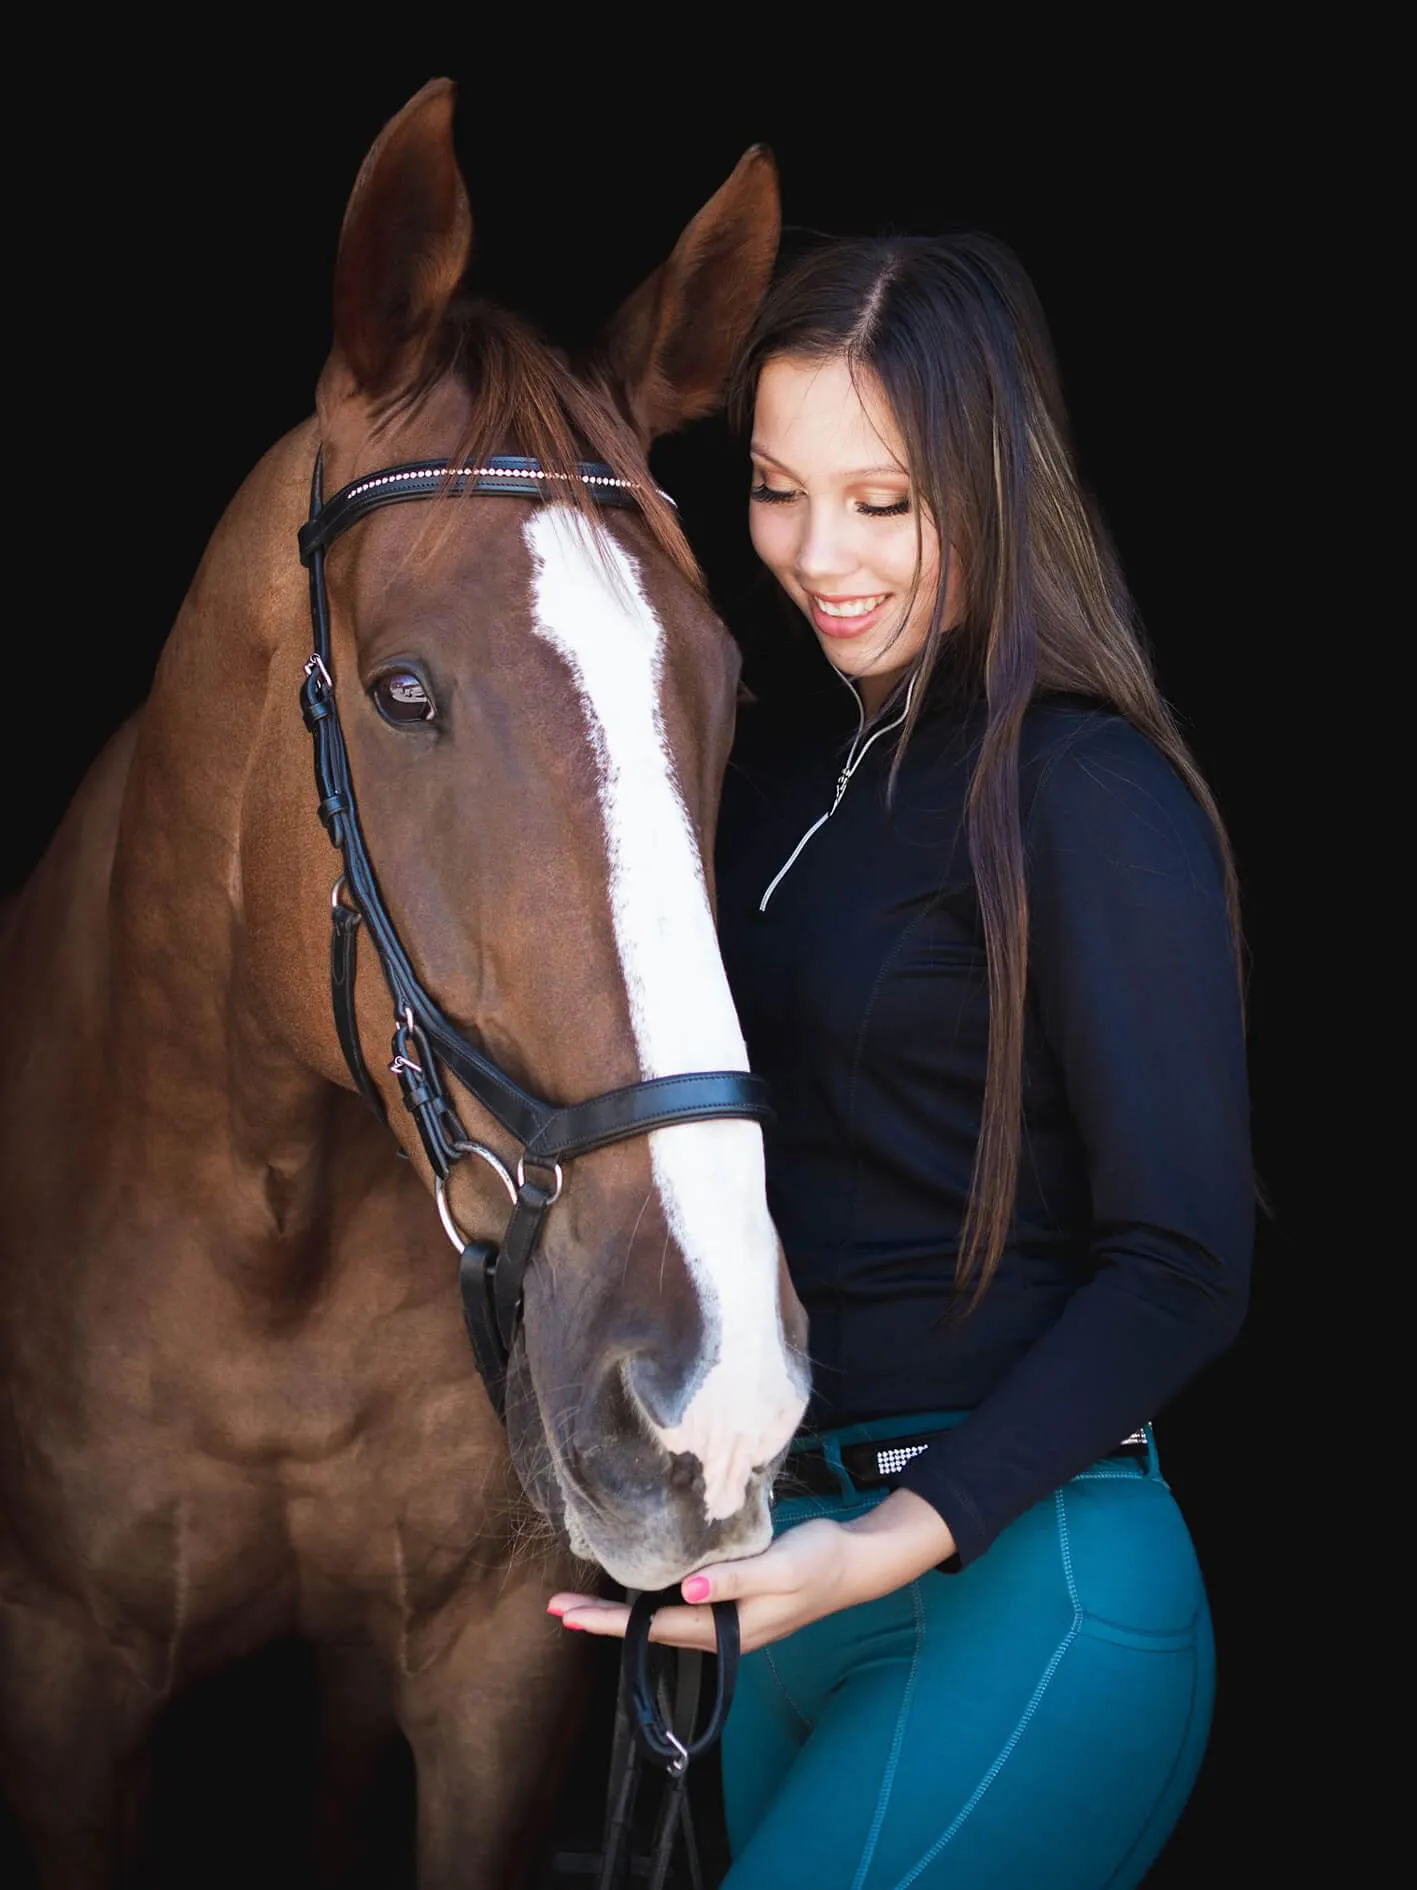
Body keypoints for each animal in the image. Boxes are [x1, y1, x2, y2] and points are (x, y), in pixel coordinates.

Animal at [0, 77, 808, 1890]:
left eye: (730, 684)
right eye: (404, 691)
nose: (714, 1389)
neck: (267, 1242)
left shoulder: (493, 1678)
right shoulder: (64, 1678)